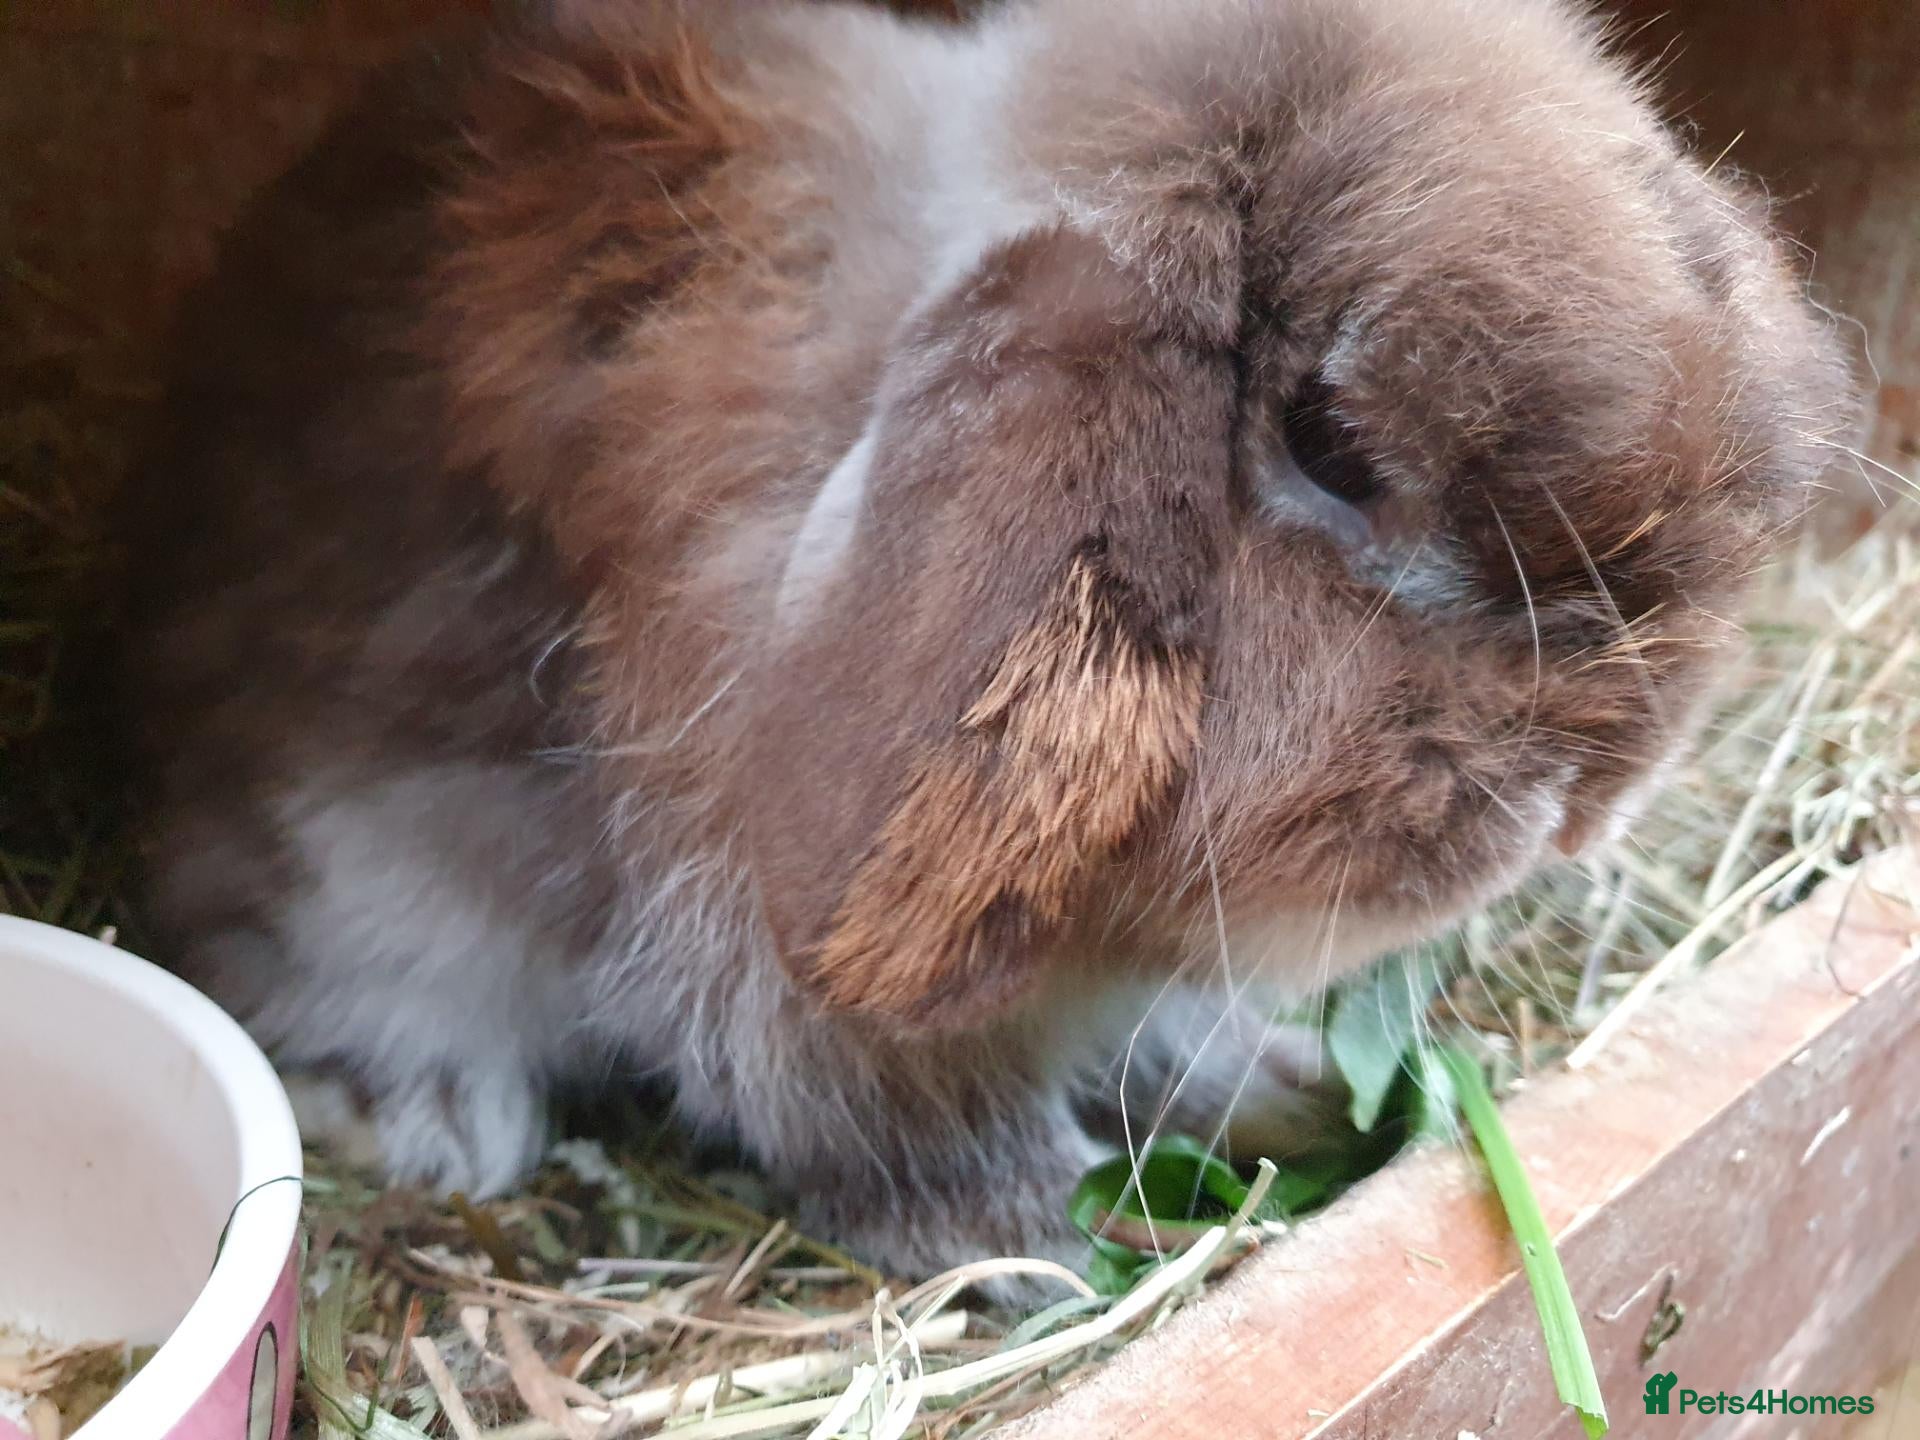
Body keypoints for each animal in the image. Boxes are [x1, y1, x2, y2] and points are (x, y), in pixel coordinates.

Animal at [116, 0, 1851, 1282]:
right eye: (1331, 444)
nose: (1583, 802)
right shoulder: (776, 950)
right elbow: (914, 1117)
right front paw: (1049, 1251)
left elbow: (1167, 1042)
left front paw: (1291, 1096)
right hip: (348, 860)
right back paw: (426, 1117)